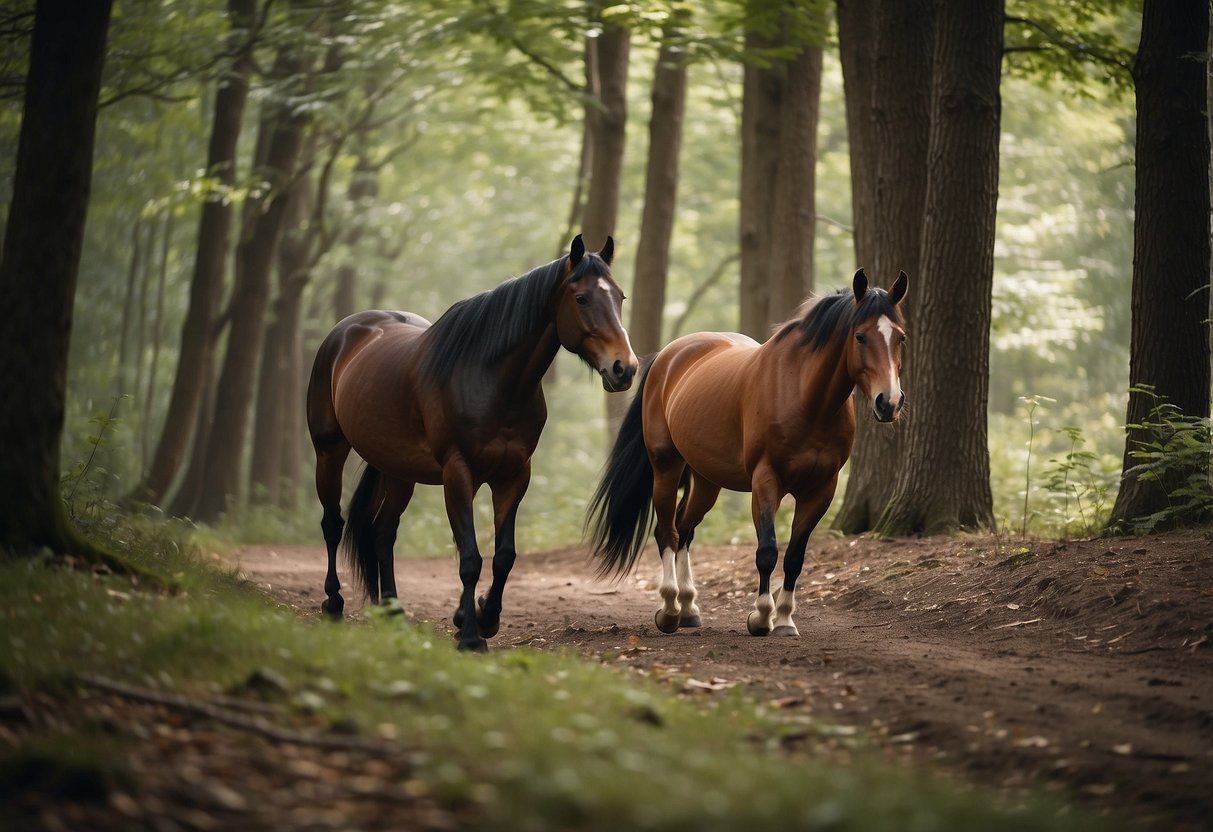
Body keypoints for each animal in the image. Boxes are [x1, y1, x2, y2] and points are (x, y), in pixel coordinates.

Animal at [308, 232, 640, 650]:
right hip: (329, 451)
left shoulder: (513, 475)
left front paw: (484, 618)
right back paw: (333, 603)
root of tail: (346, 333)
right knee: (332, 524)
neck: (491, 379)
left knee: (383, 533)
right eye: (581, 298)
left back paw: (394, 613)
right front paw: (469, 636)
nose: (624, 369)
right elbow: (470, 558)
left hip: (398, 471)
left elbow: (504, 557)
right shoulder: (458, 472)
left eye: (621, 296)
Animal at [582, 266, 907, 640]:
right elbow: (766, 551)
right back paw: (669, 610)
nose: (889, 402)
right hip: (665, 467)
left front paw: (785, 620)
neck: (804, 396)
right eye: (860, 336)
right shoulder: (765, 480)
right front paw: (762, 617)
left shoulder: (821, 489)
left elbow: (795, 556)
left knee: (685, 527)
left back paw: (689, 608)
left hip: (706, 480)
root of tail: (667, 357)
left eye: (901, 338)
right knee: (667, 532)